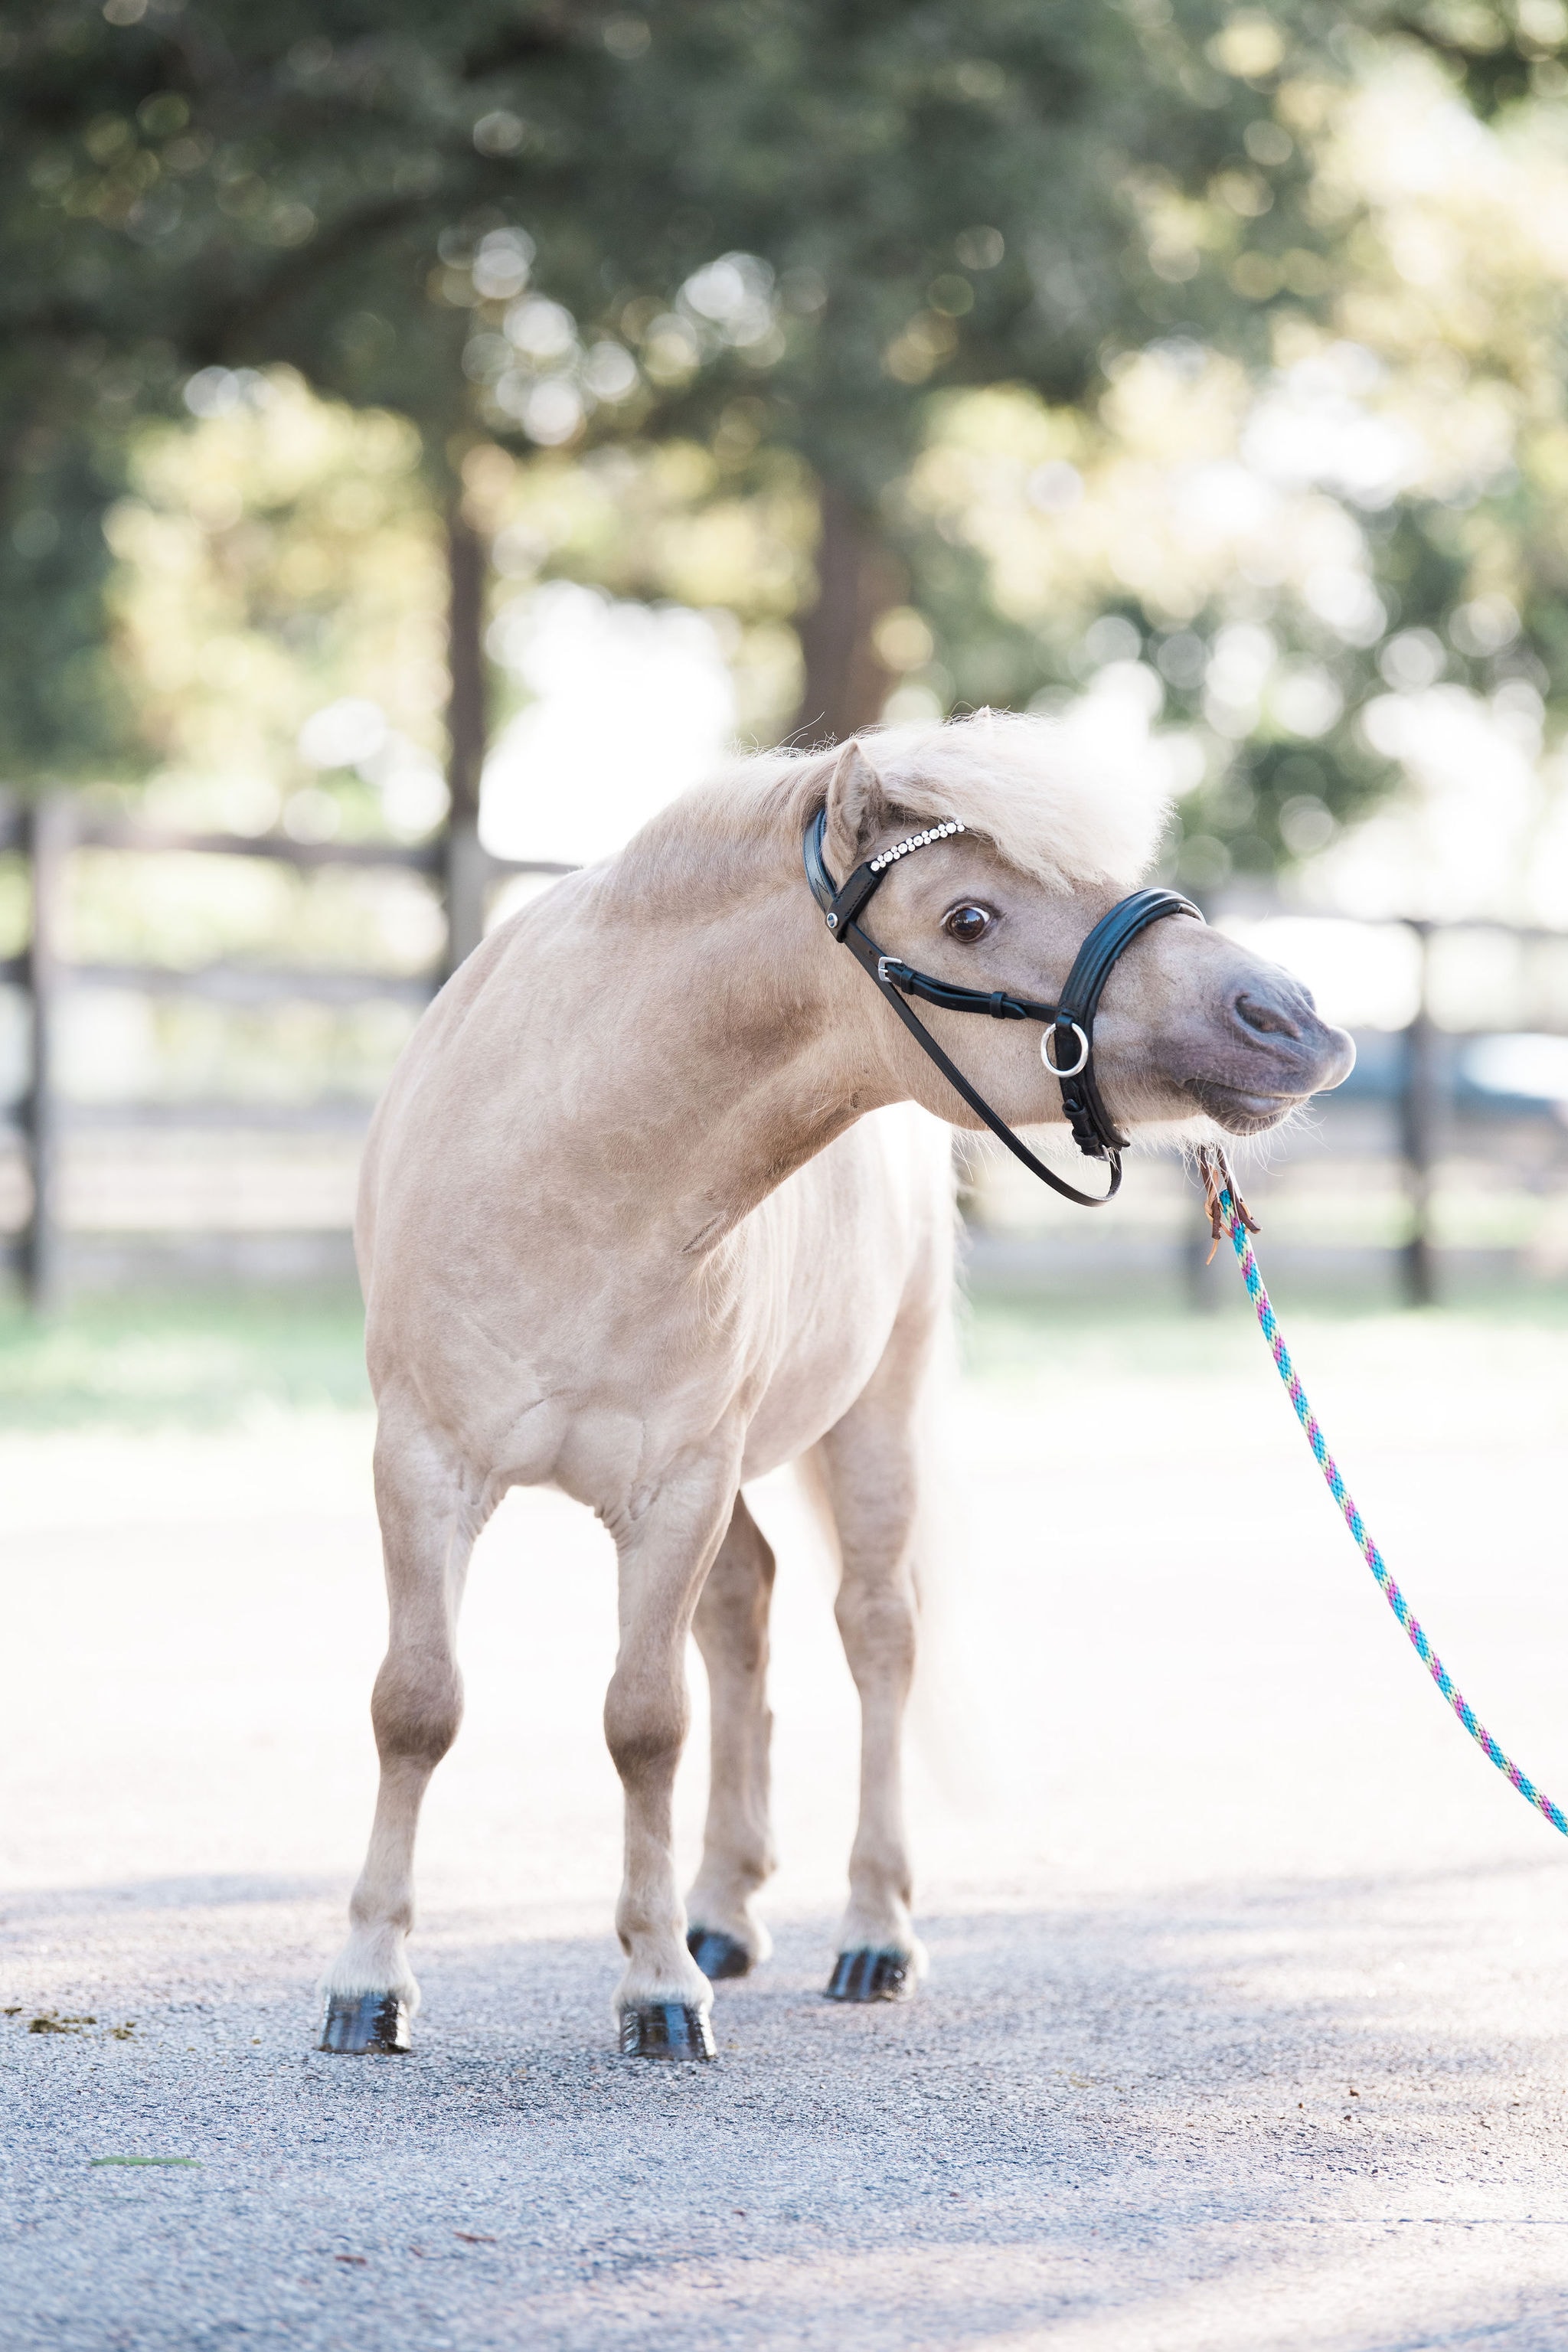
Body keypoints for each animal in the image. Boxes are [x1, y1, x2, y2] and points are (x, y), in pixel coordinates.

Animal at [319, 711, 1354, 2060]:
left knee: (874, 1638)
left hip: (873, 1422)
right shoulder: (425, 1463)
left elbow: (645, 1722)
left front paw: (658, 1990)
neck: (574, 1171)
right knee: (743, 1615)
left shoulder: (678, 1487)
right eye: (967, 917)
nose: (1289, 1019)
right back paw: (723, 1910)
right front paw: (368, 1980)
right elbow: (417, 1705)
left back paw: (870, 1933)